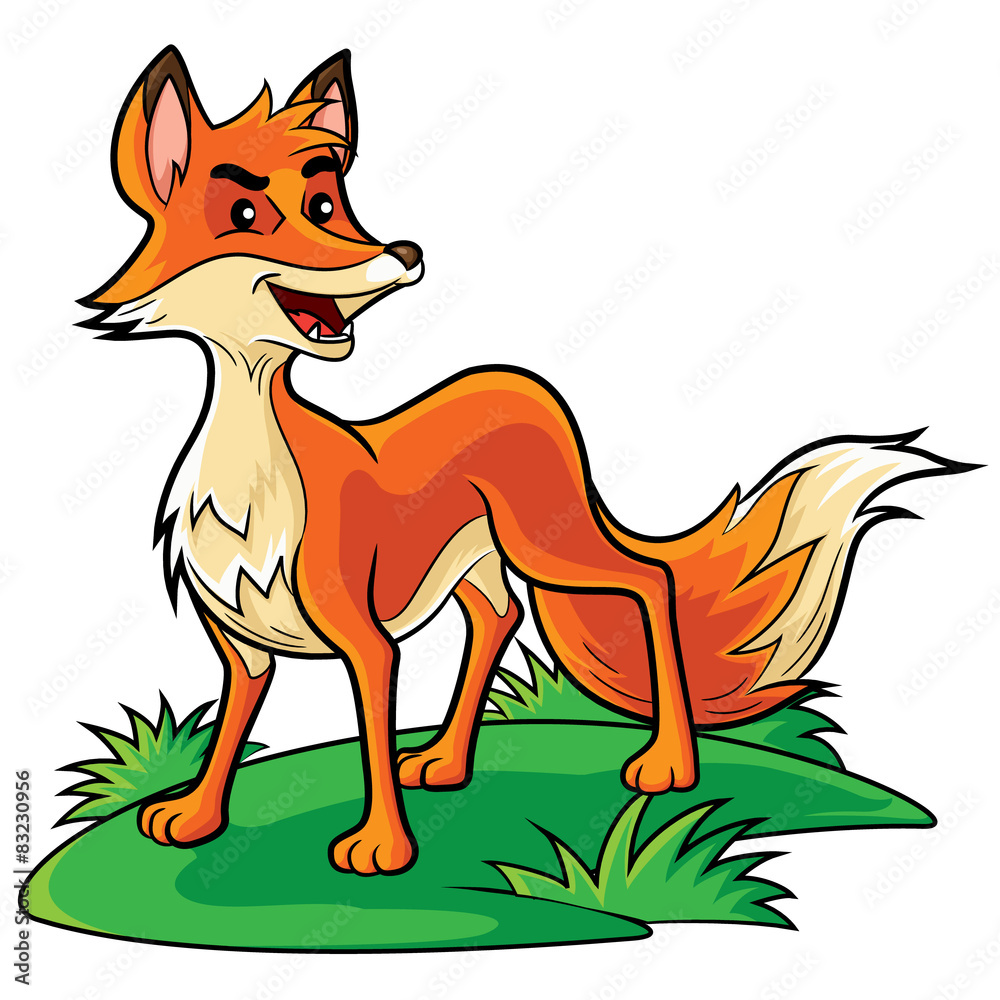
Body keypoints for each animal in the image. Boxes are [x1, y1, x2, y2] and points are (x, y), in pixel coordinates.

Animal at [82, 45, 973, 876]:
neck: (250, 480)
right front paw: (196, 819)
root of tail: (525, 385)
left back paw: (667, 764)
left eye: (328, 204)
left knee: (648, 581)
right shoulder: (241, 642)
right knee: (501, 618)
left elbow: (369, 737)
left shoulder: (365, 638)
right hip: (481, 560)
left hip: (549, 545)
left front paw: (382, 848)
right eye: (244, 211)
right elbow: (232, 727)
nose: (401, 252)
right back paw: (447, 761)